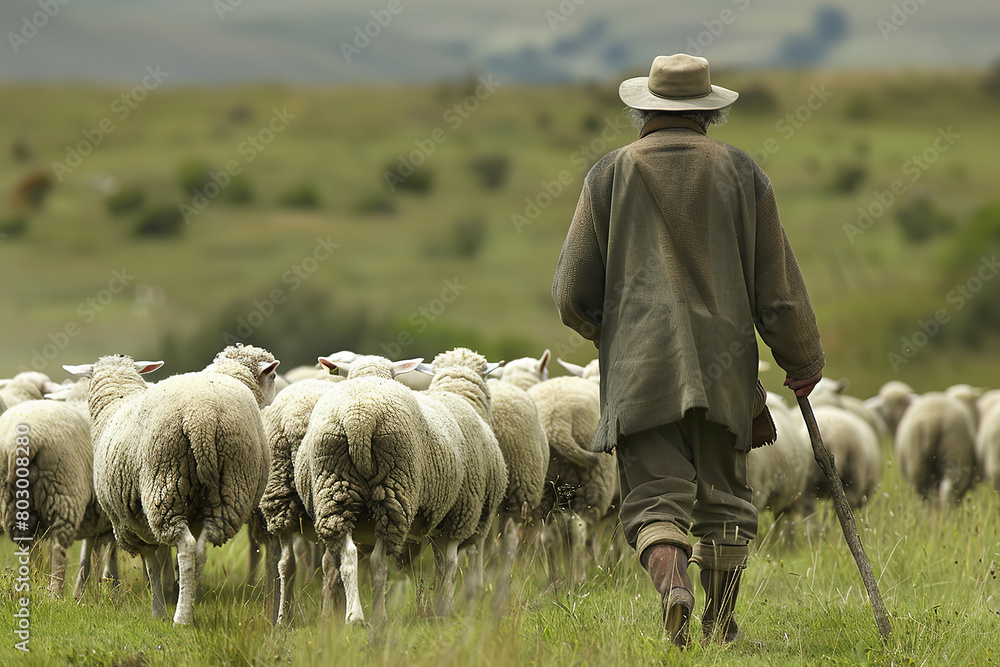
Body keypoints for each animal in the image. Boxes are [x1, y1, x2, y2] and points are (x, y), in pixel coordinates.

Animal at [0, 380, 118, 600]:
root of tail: (17, 445)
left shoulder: (100, 518)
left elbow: (93, 552)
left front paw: (88, 592)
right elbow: (109, 555)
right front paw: (112, 592)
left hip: (12, 503)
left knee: (27, 545)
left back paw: (30, 584)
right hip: (63, 492)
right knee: (57, 547)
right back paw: (55, 593)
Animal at [64, 344, 278, 625]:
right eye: (273, 377)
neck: (116, 400)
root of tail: (202, 418)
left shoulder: (128, 520)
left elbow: (152, 562)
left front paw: (158, 609)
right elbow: (164, 558)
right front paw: (169, 593)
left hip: (164, 485)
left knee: (186, 548)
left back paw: (181, 618)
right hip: (229, 489)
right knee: (200, 550)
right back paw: (189, 607)